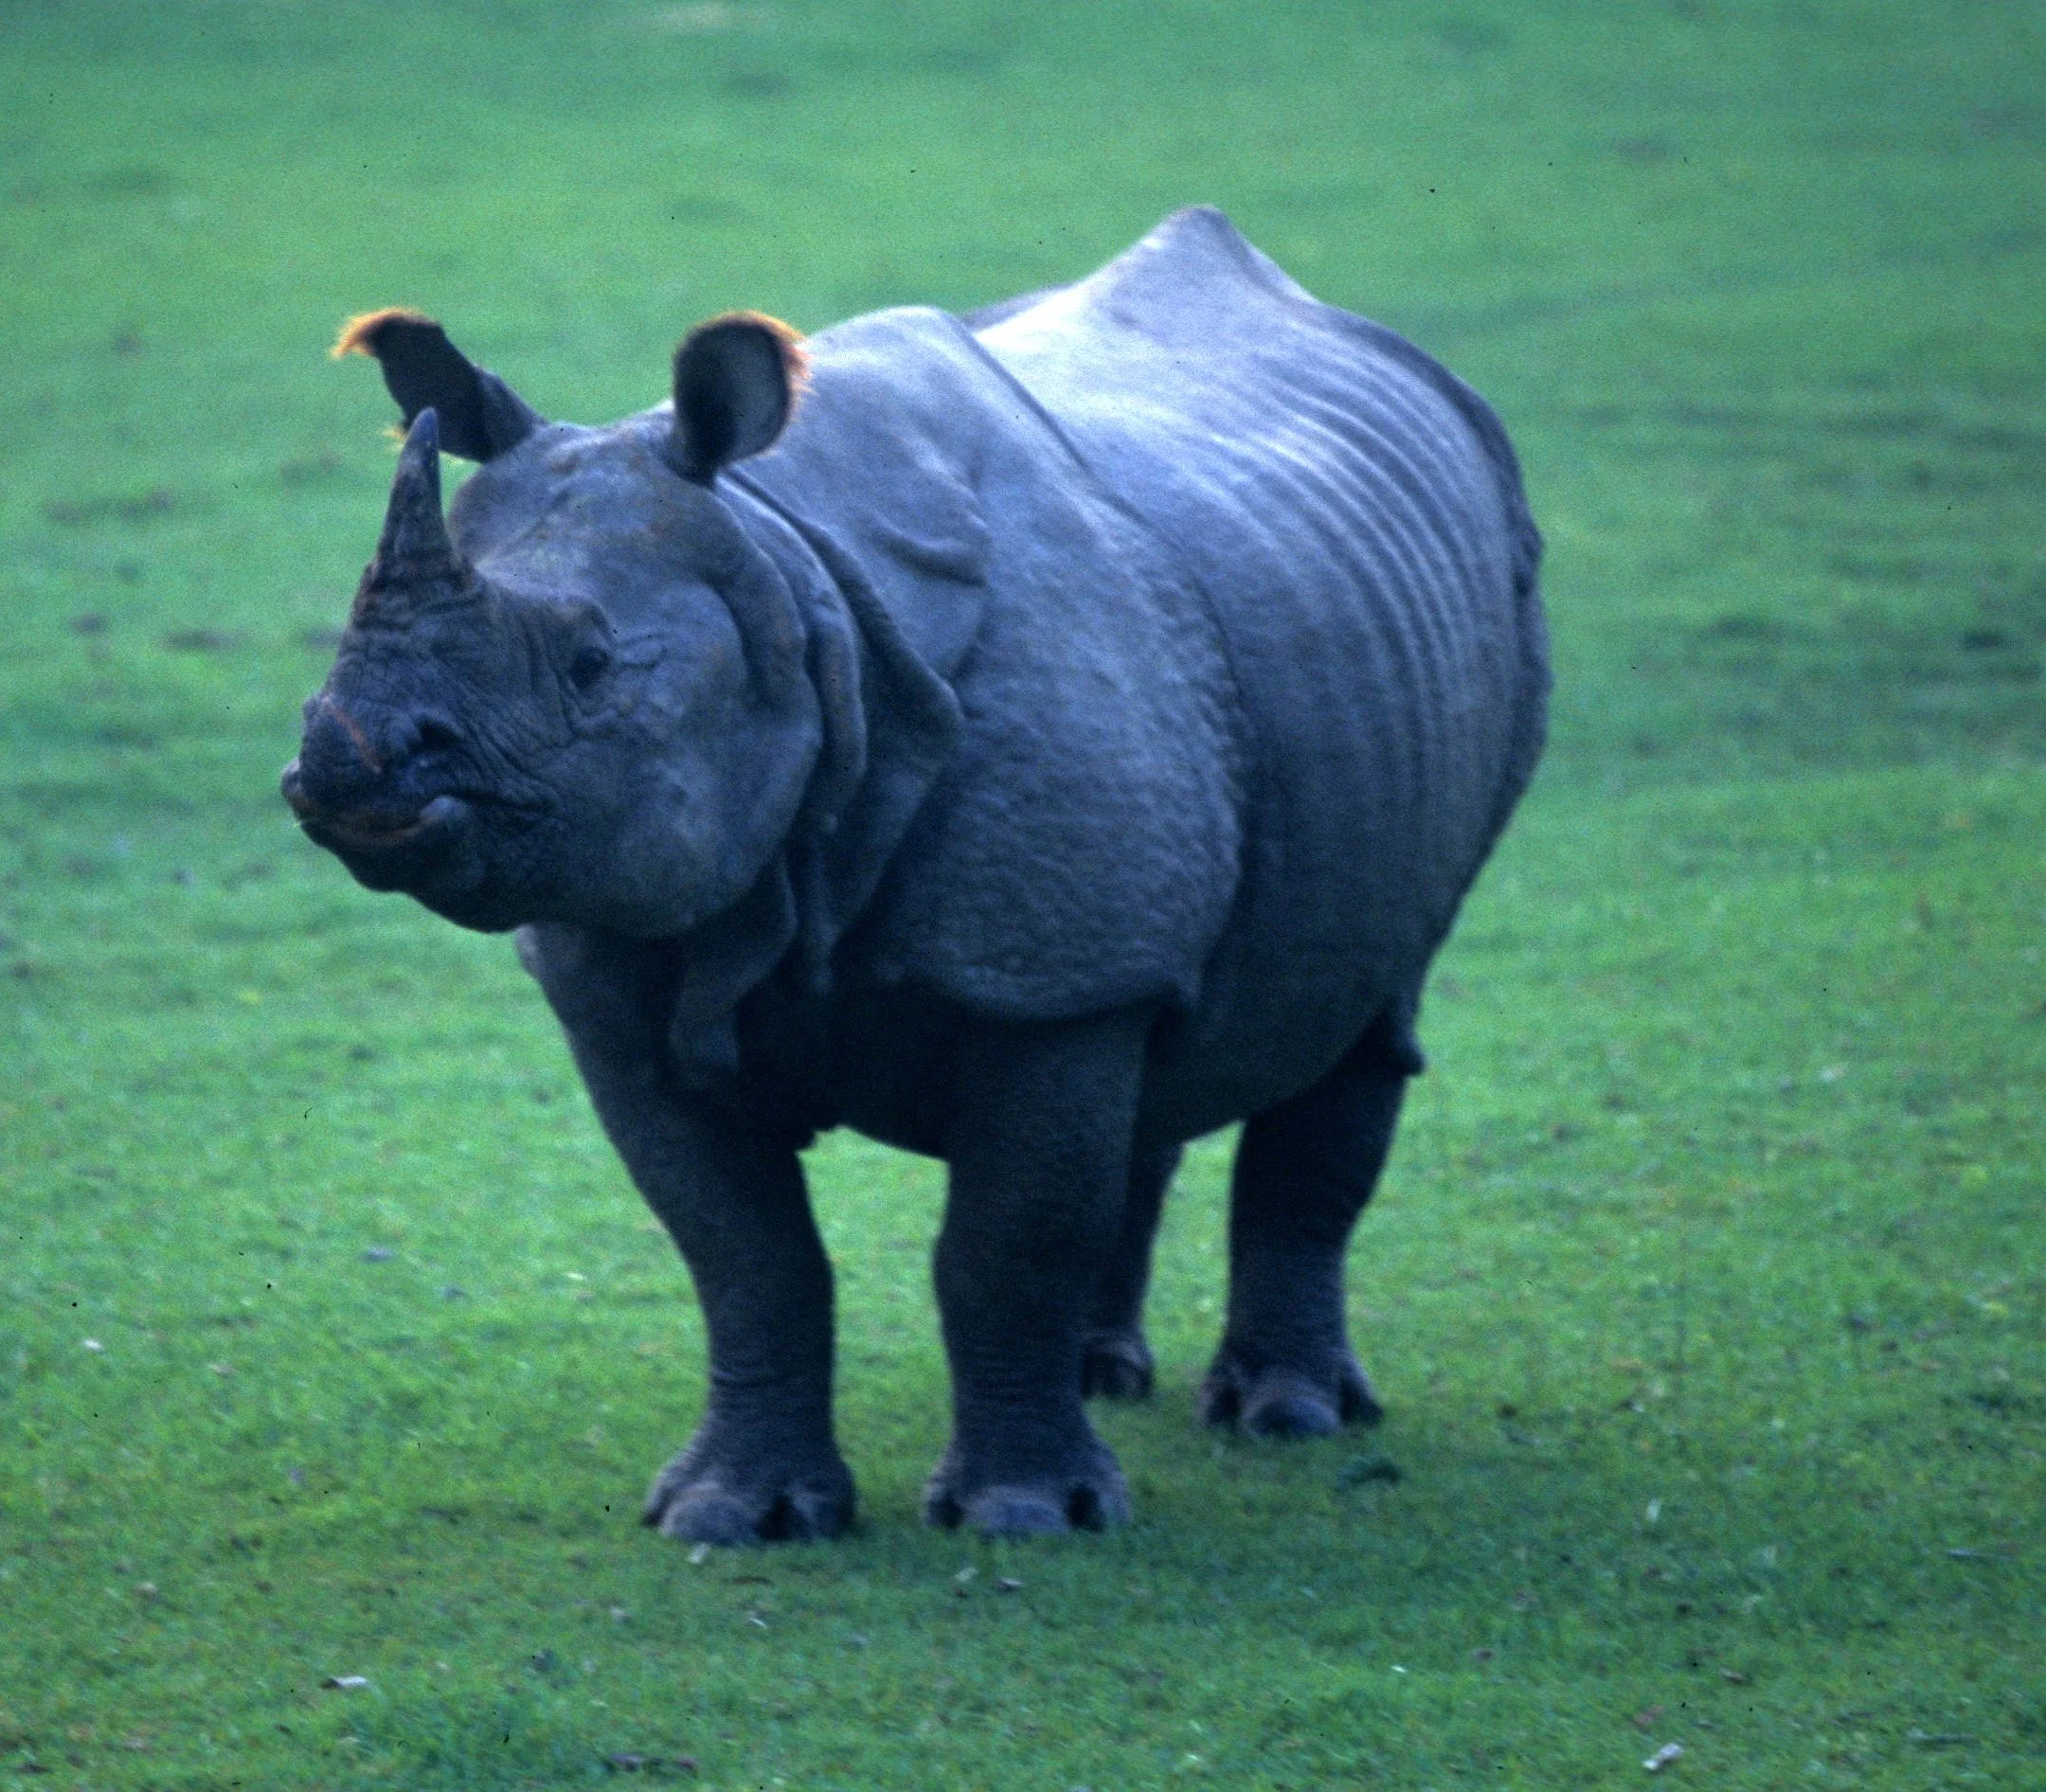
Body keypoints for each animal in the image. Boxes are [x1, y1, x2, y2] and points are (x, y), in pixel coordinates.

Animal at [281, 207, 1547, 1542]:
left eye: (588, 664)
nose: (349, 766)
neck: (791, 583)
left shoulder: (1049, 973)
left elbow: (1006, 1239)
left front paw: (1027, 1516)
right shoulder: (627, 959)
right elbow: (743, 1252)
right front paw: (733, 1515)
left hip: (1483, 620)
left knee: (1370, 1005)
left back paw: (1284, 1416)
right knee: (1167, 1032)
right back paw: (1105, 1375)